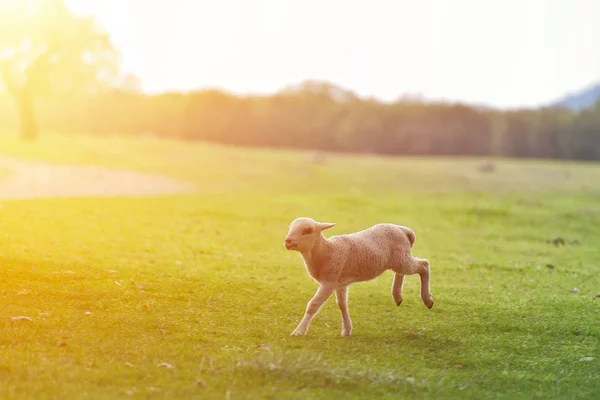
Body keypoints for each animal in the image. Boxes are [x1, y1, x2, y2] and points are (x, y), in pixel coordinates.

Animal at [284, 217, 434, 336]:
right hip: (400, 258)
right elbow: (342, 304)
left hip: (401, 258)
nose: (288, 241)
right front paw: (347, 330)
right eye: (290, 228)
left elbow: (313, 305)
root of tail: (403, 229)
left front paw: (299, 331)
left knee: (424, 265)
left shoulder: (329, 281)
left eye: (308, 230)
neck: (326, 251)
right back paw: (397, 296)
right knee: (402, 271)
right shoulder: (340, 283)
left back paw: (427, 299)